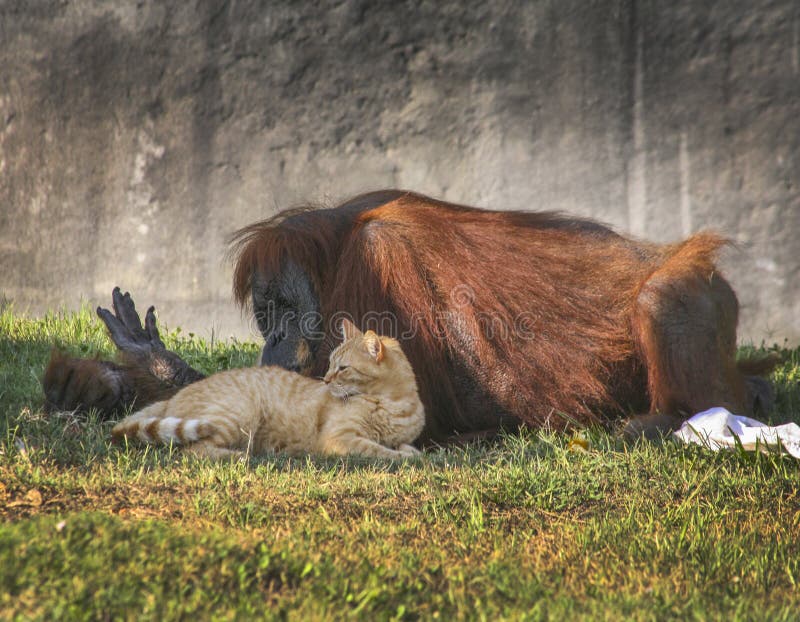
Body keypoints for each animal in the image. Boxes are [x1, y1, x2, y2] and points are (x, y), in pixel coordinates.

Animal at [111, 322, 424, 464]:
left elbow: (406, 446)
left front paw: (409, 451)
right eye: (331, 364)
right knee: (192, 450)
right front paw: (406, 457)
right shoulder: (339, 438)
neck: (395, 404)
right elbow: (379, 450)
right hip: (237, 415)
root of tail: (169, 400)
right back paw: (241, 456)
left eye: (342, 368)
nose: (325, 380)